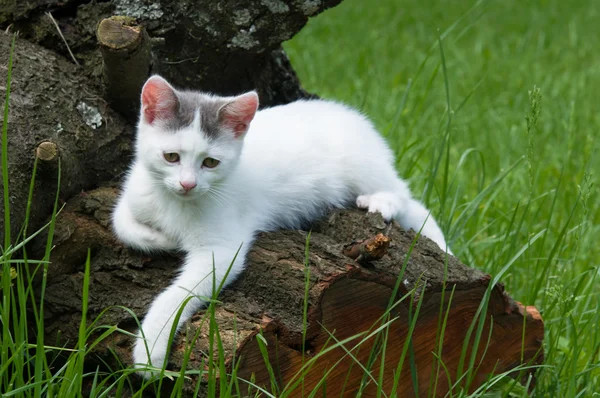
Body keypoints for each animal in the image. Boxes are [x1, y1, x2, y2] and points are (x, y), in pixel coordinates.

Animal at [111, 76, 450, 378]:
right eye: (171, 157)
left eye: (210, 163)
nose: (187, 184)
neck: (173, 202)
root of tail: (351, 116)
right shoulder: (135, 192)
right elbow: (121, 222)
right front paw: (159, 237)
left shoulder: (223, 250)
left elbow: (179, 294)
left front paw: (149, 349)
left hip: (363, 167)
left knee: (408, 198)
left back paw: (385, 203)